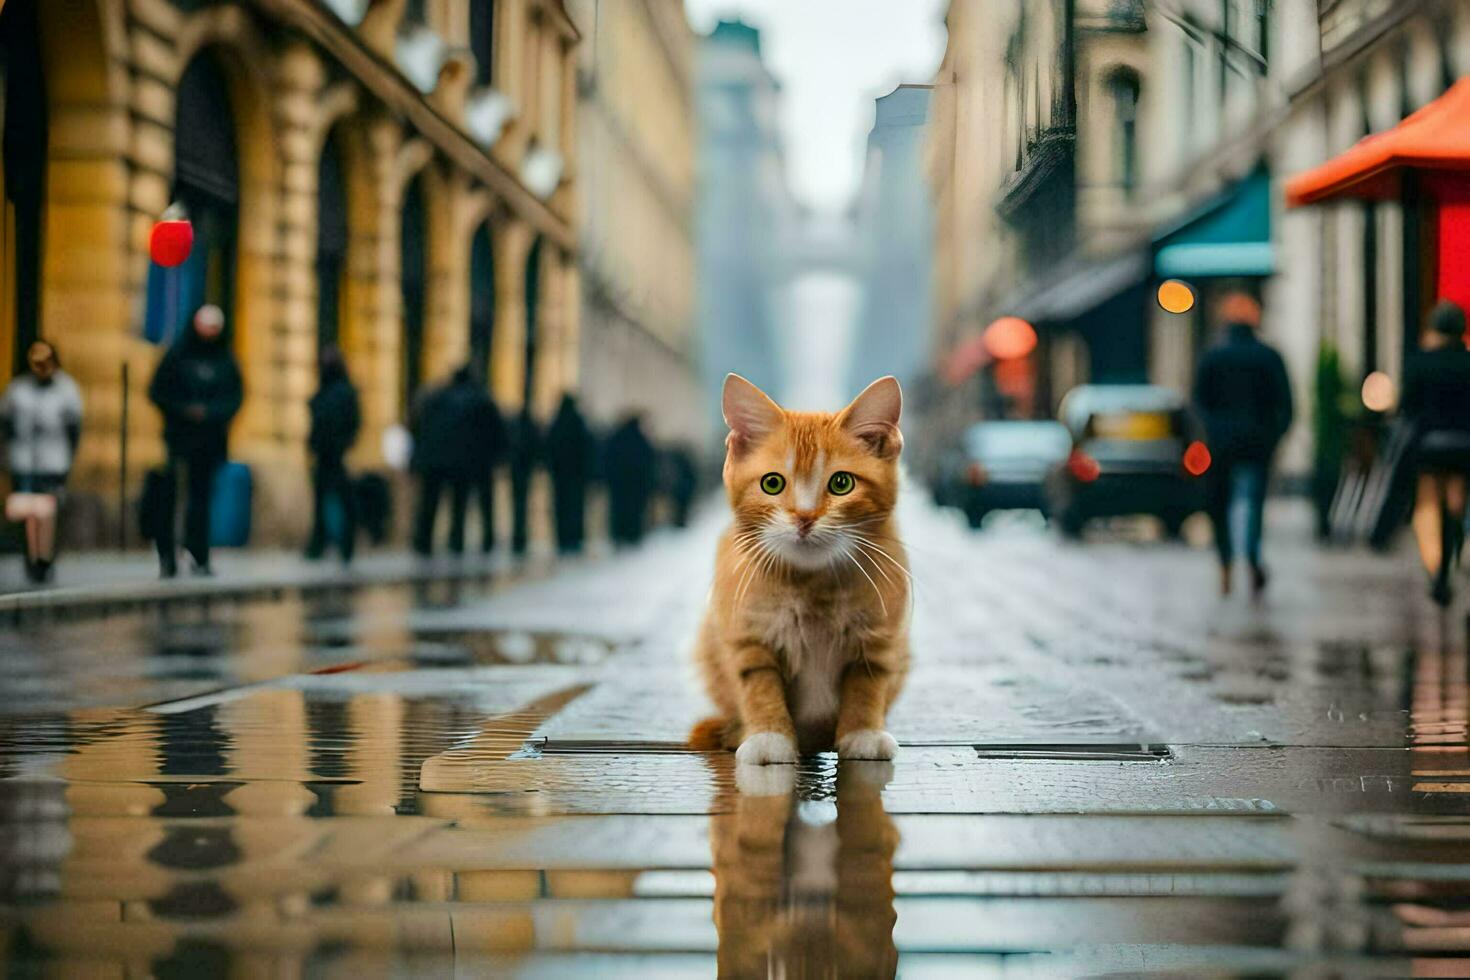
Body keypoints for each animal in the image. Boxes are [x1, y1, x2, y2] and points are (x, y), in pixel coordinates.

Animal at [687, 376, 905, 764]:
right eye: (772, 483)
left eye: (841, 483)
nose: (804, 518)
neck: (812, 583)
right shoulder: (747, 634)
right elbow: (759, 685)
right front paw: (767, 737)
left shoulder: (882, 636)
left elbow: (867, 685)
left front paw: (863, 732)